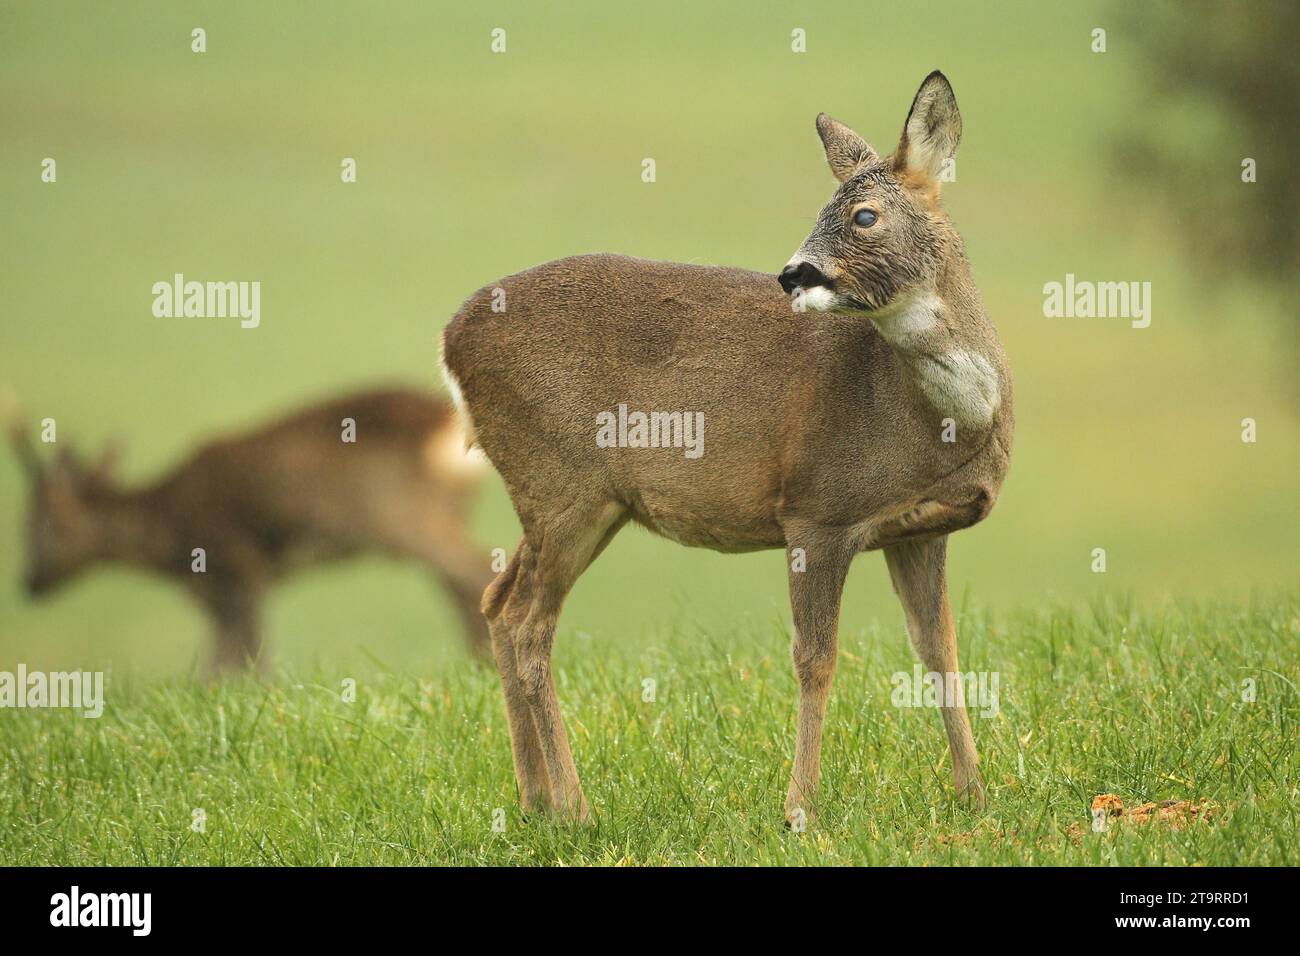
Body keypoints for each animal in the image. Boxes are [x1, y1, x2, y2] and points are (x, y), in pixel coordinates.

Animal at [6, 387, 491, 671]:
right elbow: (222, 659)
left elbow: (244, 656)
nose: (29, 583)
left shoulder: (238, 565)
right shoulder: (216, 590)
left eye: (41, 521)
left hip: (409, 518)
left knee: (475, 572)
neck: (168, 529)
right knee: (461, 585)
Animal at [441, 70, 1008, 827]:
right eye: (822, 208)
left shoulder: (919, 529)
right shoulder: (817, 510)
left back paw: (535, 802)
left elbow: (941, 648)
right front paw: (800, 810)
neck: (937, 422)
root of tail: (450, 340)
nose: (794, 274)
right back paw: (578, 811)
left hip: (580, 501)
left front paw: (976, 794)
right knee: (530, 623)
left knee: (499, 603)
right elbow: (815, 659)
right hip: (561, 483)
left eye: (863, 216)